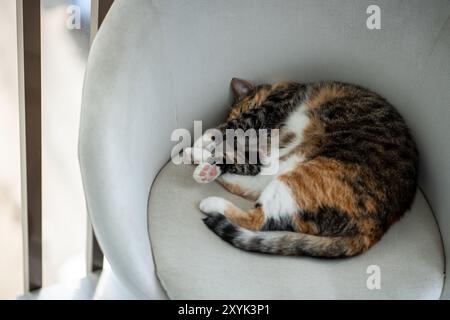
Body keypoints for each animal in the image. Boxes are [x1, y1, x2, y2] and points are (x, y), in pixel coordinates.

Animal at [183, 78, 418, 258]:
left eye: (240, 108)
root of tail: (378, 227)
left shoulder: (268, 111)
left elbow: (225, 129)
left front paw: (201, 143)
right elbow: (239, 156)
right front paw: (204, 154)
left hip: (300, 177)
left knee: (258, 219)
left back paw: (210, 196)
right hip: (289, 165)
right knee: (254, 183)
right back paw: (207, 169)